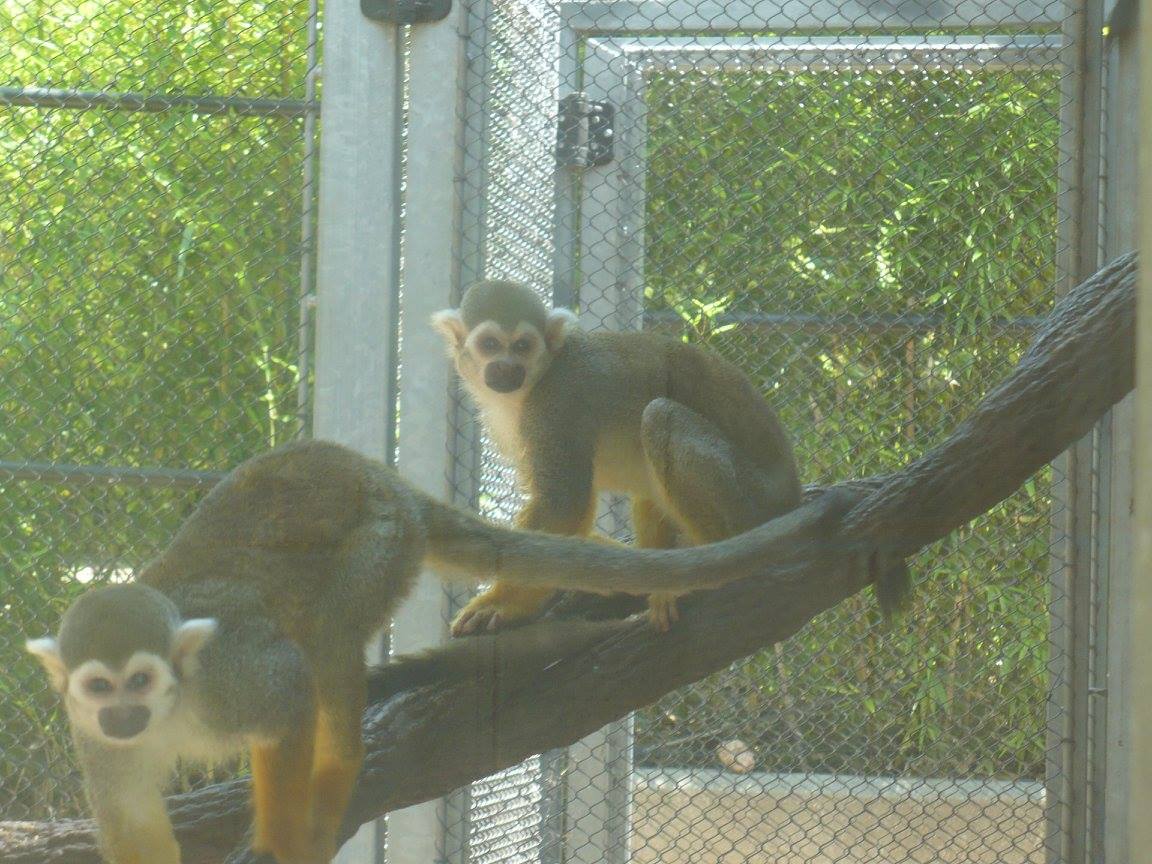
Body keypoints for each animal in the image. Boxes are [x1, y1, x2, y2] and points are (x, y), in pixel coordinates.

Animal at [25, 438, 852, 864]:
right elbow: (130, 816)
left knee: (325, 641)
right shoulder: (88, 737)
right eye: (101, 688)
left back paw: (339, 774)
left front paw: (287, 841)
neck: (174, 704)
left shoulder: (236, 676)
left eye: (140, 678)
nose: (125, 713)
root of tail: (379, 475)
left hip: (380, 538)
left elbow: (288, 692)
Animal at [432, 278, 803, 636]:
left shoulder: (557, 400)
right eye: (490, 345)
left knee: (660, 416)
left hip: (752, 498)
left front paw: (504, 605)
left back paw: (703, 565)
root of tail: (792, 495)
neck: (535, 381)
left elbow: (563, 503)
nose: (507, 368)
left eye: (523, 346)